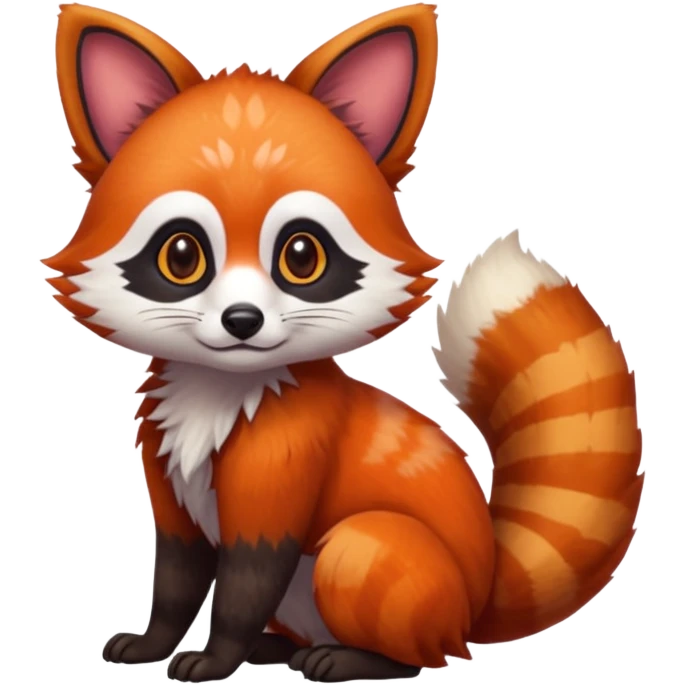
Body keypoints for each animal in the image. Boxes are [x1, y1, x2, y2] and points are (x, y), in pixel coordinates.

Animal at [45, 2, 644, 683]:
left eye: (301, 256)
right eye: (181, 255)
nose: (243, 319)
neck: (218, 399)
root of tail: (480, 594)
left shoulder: (281, 480)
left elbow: (241, 590)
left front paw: (216, 657)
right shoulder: (171, 489)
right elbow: (174, 584)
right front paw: (155, 643)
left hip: (362, 553)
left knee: (420, 654)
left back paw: (347, 658)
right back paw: (275, 650)